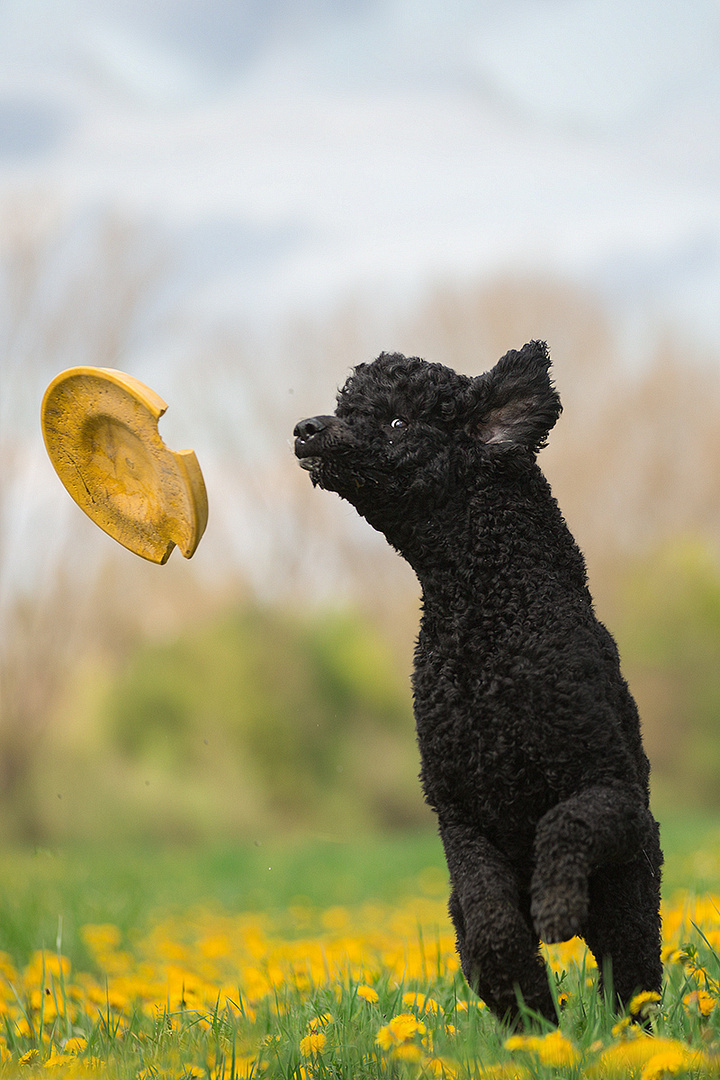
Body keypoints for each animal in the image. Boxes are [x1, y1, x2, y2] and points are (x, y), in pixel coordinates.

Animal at [293, 343, 664, 1019]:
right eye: (346, 408)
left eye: (397, 422)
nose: (306, 428)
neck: (486, 617)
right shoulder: (462, 820)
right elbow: (491, 924)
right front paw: (528, 998)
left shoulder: (610, 789)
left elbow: (562, 823)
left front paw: (555, 903)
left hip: (631, 895)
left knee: (632, 987)